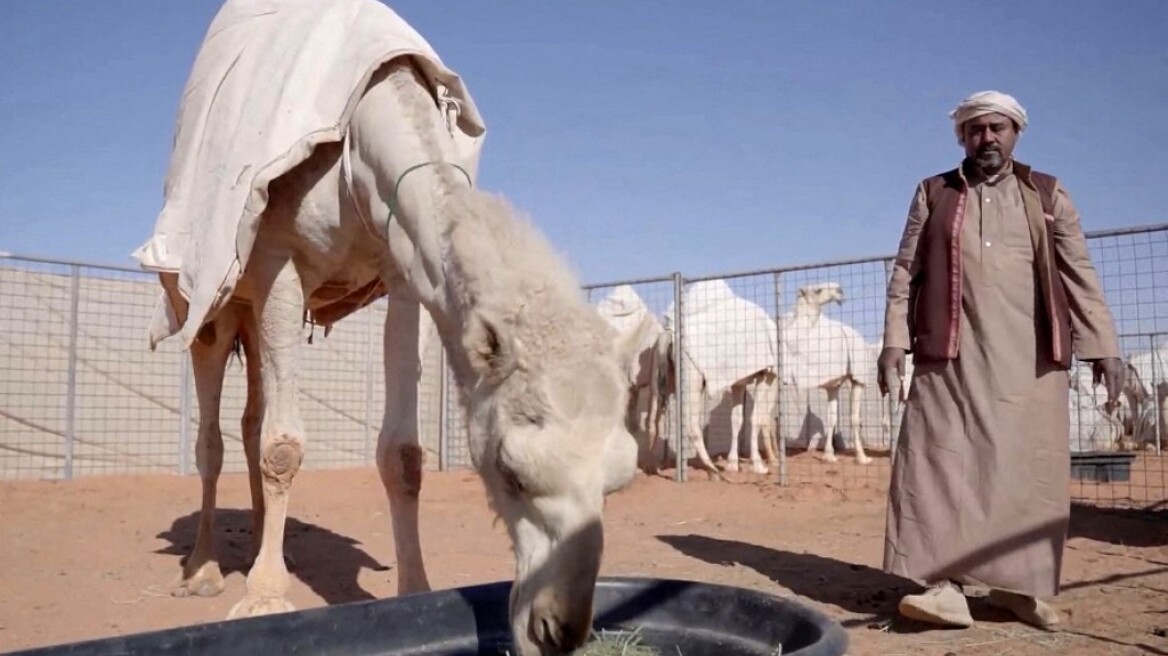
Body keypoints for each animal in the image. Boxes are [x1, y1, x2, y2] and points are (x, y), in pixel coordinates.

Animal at [138, 3, 649, 648]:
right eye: (510, 472)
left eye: (619, 480)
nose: (557, 628)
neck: (360, 145)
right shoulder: (279, 259)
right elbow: (284, 445)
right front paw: (263, 598)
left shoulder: (404, 270)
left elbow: (402, 454)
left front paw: (414, 590)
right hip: (214, 301)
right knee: (211, 433)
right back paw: (203, 569)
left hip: (253, 316)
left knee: (252, 416)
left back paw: (258, 545)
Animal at [644, 277, 780, 478]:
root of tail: (669, 334)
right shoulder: (767, 373)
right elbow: (757, 418)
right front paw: (759, 466)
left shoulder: (738, 380)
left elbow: (736, 419)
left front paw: (733, 464)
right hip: (691, 372)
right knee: (690, 421)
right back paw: (712, 469)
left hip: (660, 369)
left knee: (654, 415)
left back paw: (656, 466)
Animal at [780, 283, 873, 462]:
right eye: (818, 290)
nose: (839, 291)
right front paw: (829, 456)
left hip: (856, 376)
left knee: (852, 417)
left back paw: (861, 456)